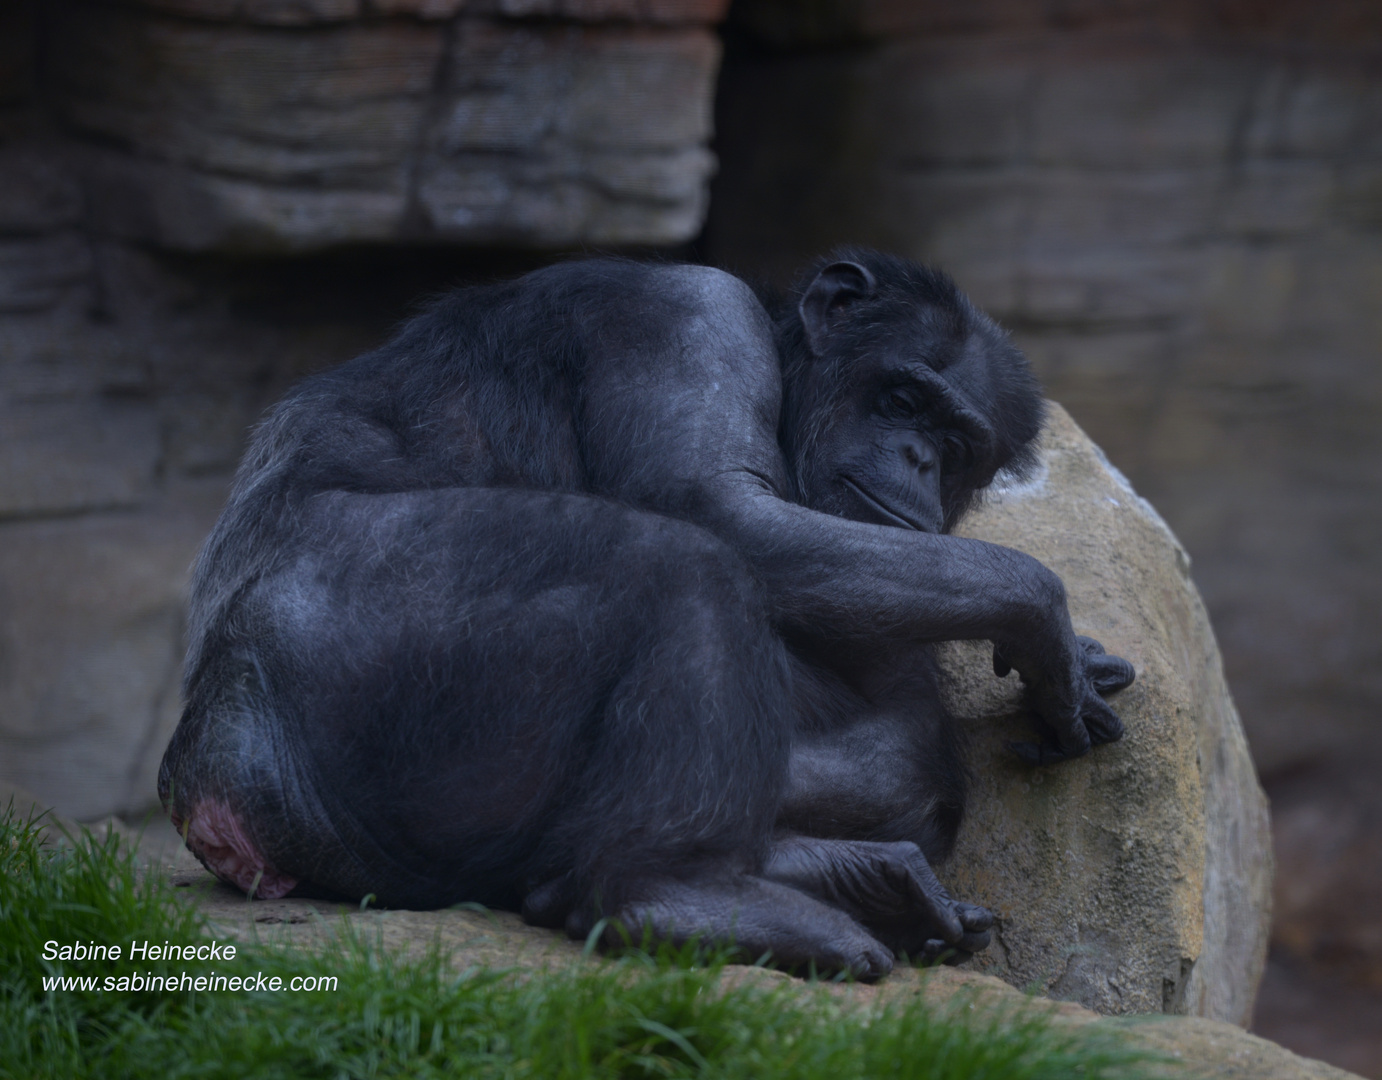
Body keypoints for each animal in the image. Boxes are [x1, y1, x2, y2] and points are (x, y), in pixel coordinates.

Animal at [158, 250, 1133, 979]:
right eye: (904, 399)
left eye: (959, 445)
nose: (919, 460)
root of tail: (211, 793)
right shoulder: (689, 320)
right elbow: (721, 508)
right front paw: (1044, 618)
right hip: (362, 664)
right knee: (678, 565)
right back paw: (683, 900)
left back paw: (847, 880)